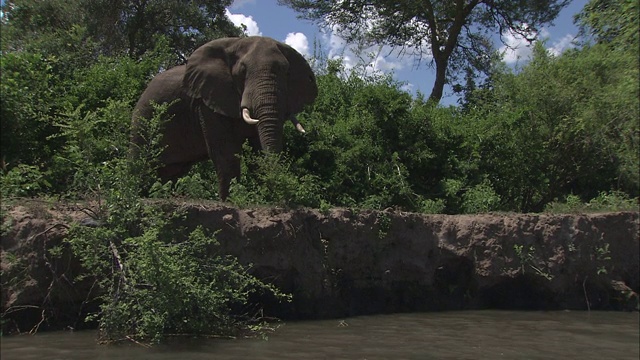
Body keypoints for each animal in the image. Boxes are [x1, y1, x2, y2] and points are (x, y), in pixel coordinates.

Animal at [131, 36, 318, 200]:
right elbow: (226, 153)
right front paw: (231, 201)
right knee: (141, 167)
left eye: (287, 72)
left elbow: (257, 152)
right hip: (142, 118)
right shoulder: (207, 100)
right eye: (242, 71)